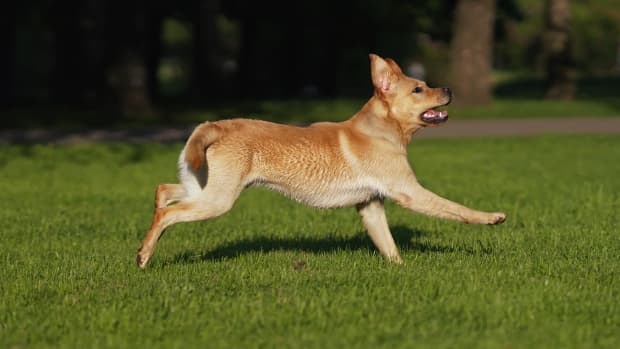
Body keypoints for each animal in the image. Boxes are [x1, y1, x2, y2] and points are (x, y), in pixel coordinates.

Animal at [136, 53, 504, 268]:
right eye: (418, 90)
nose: (449, 90)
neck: (382, 129)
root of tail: (215, 126)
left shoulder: (370, 206)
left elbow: (388, 245)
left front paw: (399, 268)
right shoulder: (409, 192)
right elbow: (456, 209)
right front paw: (491, 217)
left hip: (202, 184)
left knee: (162, 191)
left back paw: (148, 238)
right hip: (218, 198)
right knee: (168, 213)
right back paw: (143, 255)